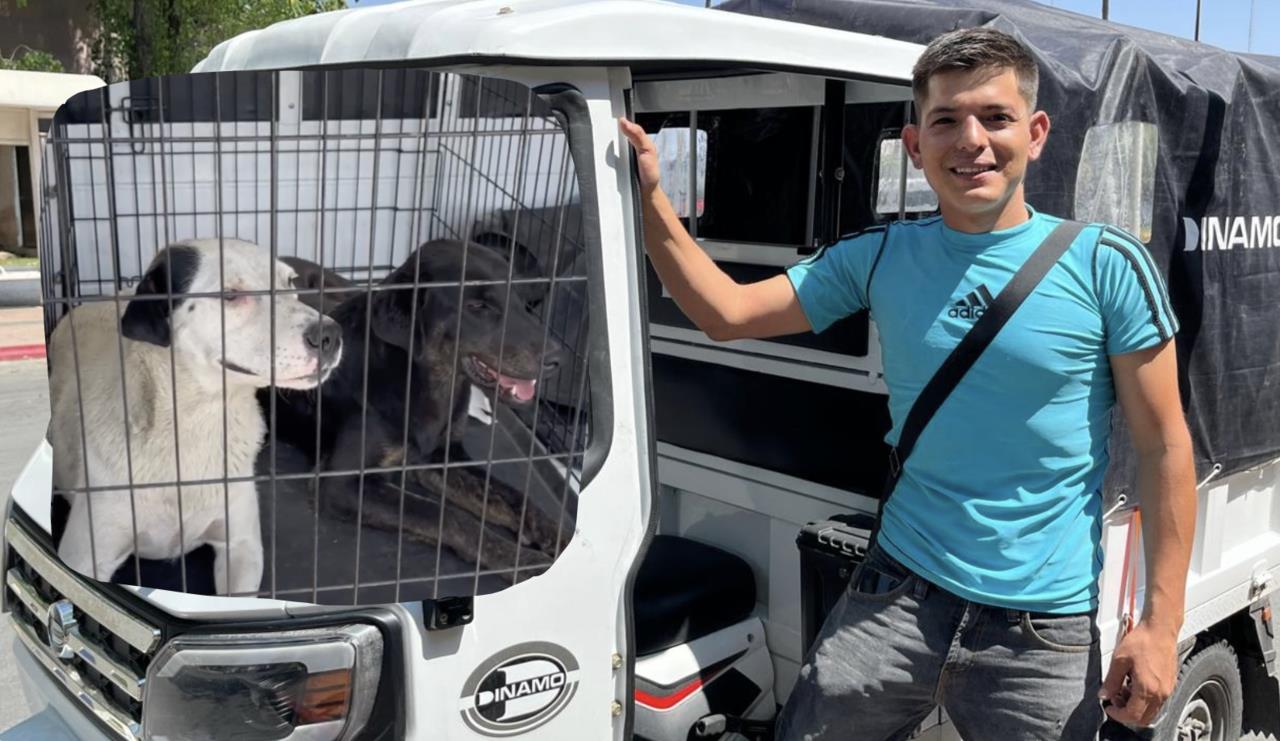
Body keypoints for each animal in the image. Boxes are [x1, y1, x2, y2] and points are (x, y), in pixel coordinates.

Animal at [49, 238, 343, 596]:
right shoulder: (83, 556)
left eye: (289, 283)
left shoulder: (242, 548)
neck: (198, 419)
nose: (331, 335)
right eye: (229, 295)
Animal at [280, 240, 570, 583]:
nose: (557, 360)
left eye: (520, 301)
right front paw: (520, 560)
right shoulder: (339, 483)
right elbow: (446, 516)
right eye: (477, 306)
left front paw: (563, 537)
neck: (426, 382)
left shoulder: (444, 457)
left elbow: (515, 496)